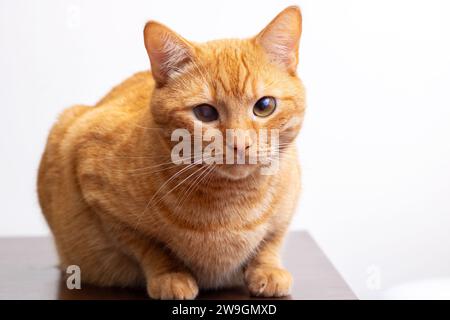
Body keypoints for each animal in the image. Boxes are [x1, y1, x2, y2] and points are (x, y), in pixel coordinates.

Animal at [38, 5, 306, 300]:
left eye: (264, 106)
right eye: (205, 113)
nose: (239, 144)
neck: (232, 201)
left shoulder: (287, 205)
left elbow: (271, 240)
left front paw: (267, 269)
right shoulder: (95, 187)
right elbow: (149, 246)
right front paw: (171, 275)